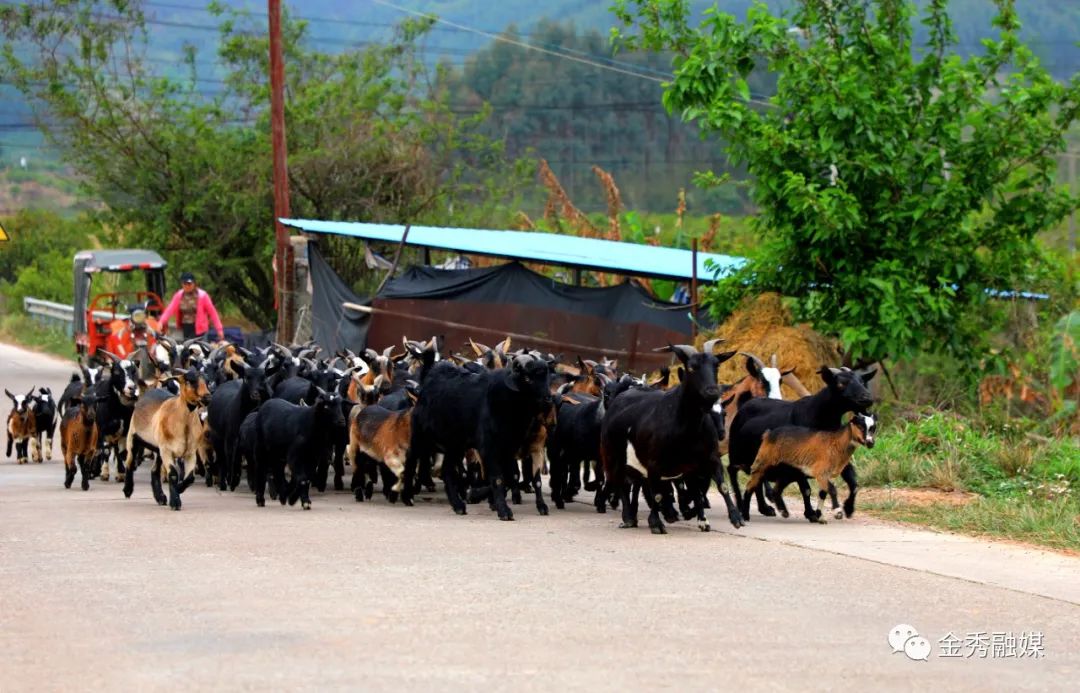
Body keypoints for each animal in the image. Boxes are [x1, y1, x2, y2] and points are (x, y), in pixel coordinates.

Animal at [743, 412, 876, 520]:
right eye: (861, 426)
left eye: (873, 428)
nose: (870, 443)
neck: (836, 443)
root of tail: (768, 434)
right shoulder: (820, 472)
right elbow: (832, 489)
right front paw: (837, 511)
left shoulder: (824, 474)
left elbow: (823, 493)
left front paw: (819, 515)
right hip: (762, 463)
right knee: (750, 486)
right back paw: (745, 515)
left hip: (788, 472)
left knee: (776, 489)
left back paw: (783, 511)